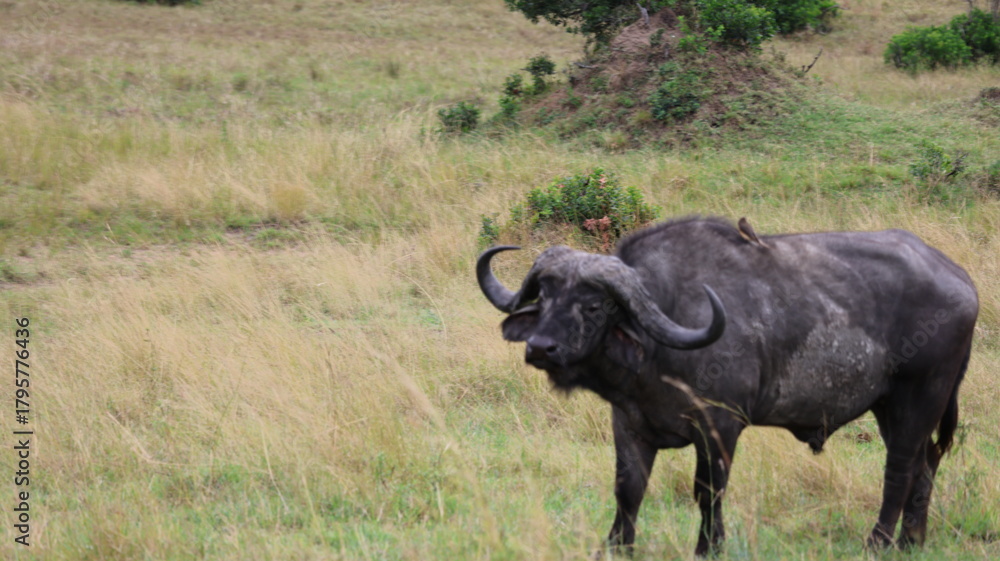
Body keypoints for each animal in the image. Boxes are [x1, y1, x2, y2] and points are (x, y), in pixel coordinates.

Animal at [476, 217, 977, 556]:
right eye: (545, 296)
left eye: (595, 305)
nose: (541, 348)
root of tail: (963, 282)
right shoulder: (629, 424)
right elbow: (628, 489)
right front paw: (616, 546)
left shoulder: (720, 424)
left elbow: (708, 491)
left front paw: (708, 547)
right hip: (890, 407)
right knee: (924, 467)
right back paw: (911, 541)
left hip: (919, 397)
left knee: (900, 470)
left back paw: (877, 542)